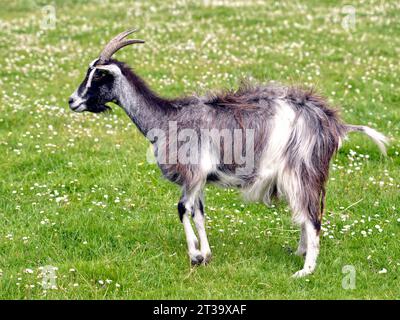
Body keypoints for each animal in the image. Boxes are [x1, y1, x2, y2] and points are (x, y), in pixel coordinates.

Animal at [69, 29, 388, 278]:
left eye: (98, 75)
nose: (72, 101)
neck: (165, 118)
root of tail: (333, 124)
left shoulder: (192, 172)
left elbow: (182, 209)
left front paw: (195, 255)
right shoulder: (198, 179)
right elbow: (198, 213)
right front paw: (206, 254)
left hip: (300, 171)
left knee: (312, 217)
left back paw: (305, 270)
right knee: (305, 214)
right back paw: (299, 252)